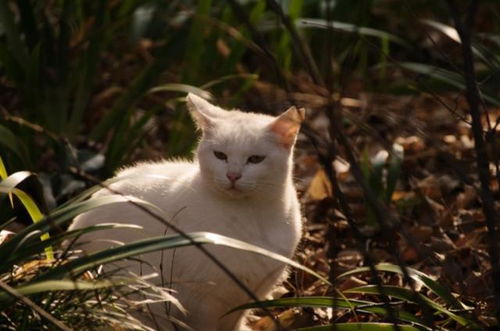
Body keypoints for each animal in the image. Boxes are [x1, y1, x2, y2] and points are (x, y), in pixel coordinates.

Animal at [69, 94, 304, 331]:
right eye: (220, 155)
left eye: (255, 159)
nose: (233, 175)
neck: (251, 214)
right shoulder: (204, 301)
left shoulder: (246, 296)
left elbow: (236, 321)